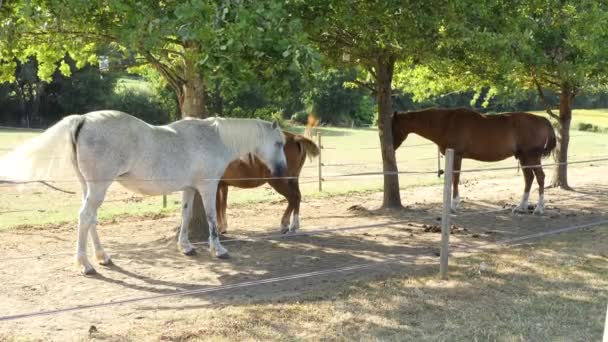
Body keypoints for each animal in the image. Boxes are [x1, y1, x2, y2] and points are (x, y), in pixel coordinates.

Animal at [0, 111, 288, 274]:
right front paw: (218, 250)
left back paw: (103, 257)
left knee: (90, 219)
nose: (282, 169)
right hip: (99, 187)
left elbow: (185, 216)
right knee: (84, 218)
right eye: (278, 143)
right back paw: (85, 264)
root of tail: (82, 119)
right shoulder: (207, 187)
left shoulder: (188, 188)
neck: (212, 138)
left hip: (88, 187)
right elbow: (211, 219)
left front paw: (185, 247)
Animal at [394, 107, 556, 214]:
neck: (446, 122)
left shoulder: (457, 156)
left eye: (392, 126)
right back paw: (521, 206)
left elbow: (455, 178)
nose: (392, 146)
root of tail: (542, 119)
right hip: (523, 157)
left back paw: (539, 209)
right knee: (529, 178)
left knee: (540, 177)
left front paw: (453, 205)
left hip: (532, 157)